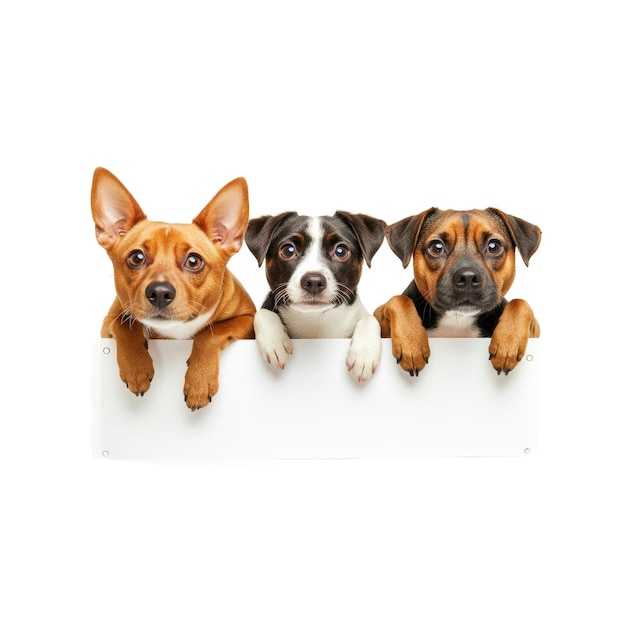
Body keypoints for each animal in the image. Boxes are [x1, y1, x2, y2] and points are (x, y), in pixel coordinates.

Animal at [89, 166, 254, 410]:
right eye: (136, 258)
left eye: (193, 261)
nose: (159, 292)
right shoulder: (107, 323)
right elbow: (124, 323)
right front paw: (136, 367)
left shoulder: (249, 319)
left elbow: (212, 332)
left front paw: (199, 381)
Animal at [244, 211, 386, 380]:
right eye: (288, 250)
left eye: (341, 251)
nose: (313, 281)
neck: (316, 321)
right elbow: (262, 313)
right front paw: (275, 342)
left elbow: (370, 318)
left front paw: (364, 354)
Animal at [372, 208, 540, 376]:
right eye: (436, 247)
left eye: (493, 246)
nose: (468, 277)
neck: (457, 321)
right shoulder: (379, 316)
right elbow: (398, 300)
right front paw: (411, 344)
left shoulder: (536, 330)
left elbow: (519, 302)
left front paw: (508, 343)